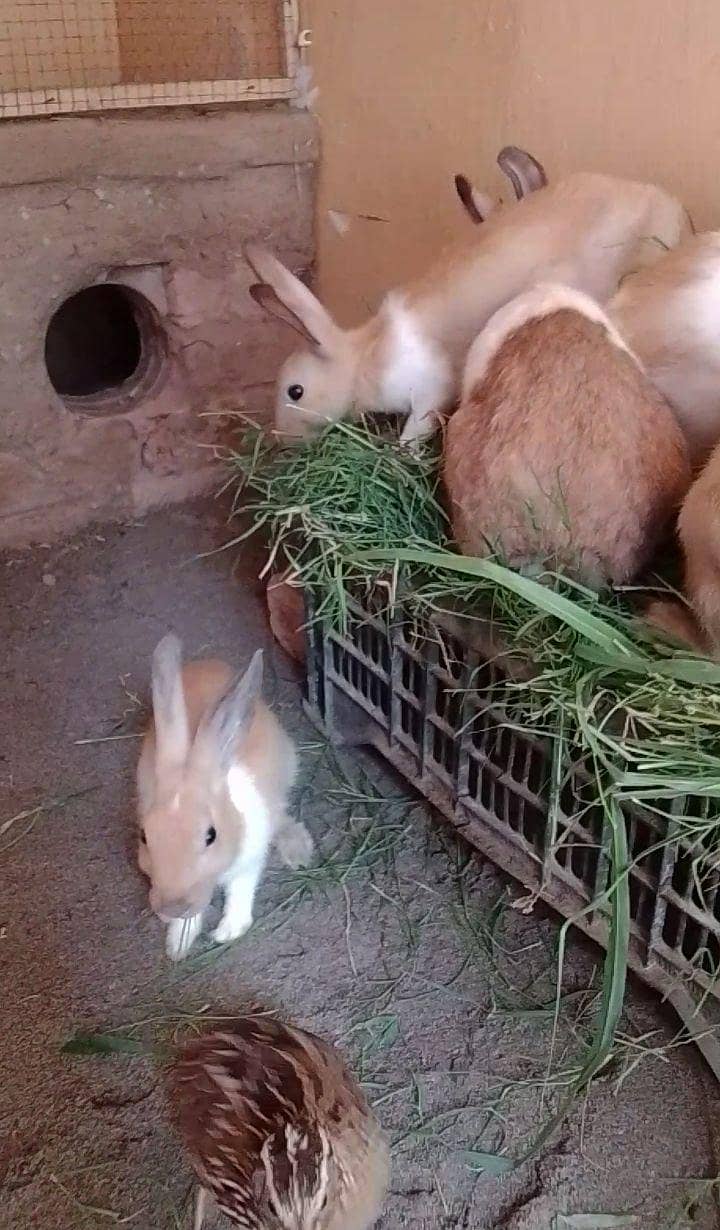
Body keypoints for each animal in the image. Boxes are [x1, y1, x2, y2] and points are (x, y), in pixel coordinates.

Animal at [136, 635, 313, 961]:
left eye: (211, 835)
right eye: (144, 836)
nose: (172, 907)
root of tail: (210, 662)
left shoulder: (250, 858)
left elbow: (240, 891)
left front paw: (228, 932)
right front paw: (178, 945)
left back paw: (297, 849)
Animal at [245, 158, 689, 446]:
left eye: (295, 392)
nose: (283, 441)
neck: (367, 356)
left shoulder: (429, 395)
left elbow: (415, 431)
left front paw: (401, 454)